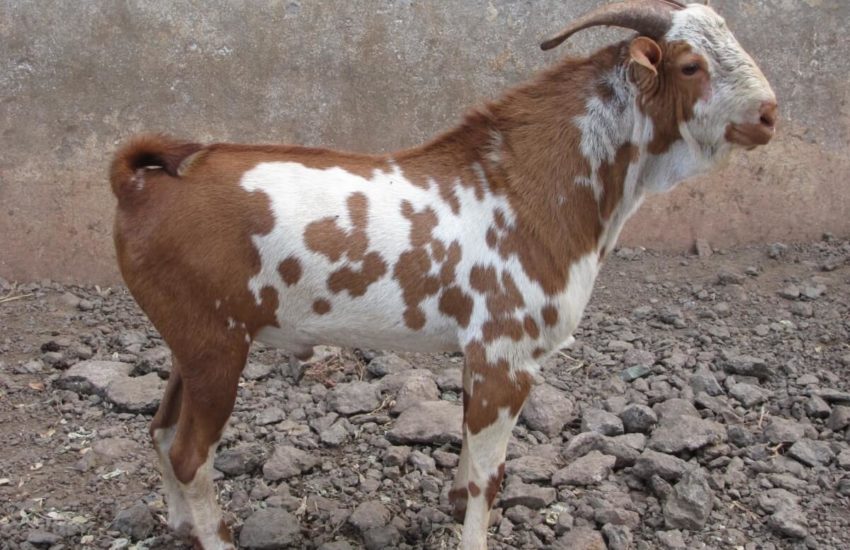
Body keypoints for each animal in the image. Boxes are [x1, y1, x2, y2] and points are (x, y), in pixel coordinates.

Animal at [107, 2, 776, 548]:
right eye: (690, 65)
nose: (769, 114)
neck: (525, 188)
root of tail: (138, 184)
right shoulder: (507, 355)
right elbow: (490, 477)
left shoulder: (480, 354)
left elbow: (470, 460)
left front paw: (453, 505)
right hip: (215, 343)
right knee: (190, 453)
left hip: (190, 341)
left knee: (160, 432)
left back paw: (178, 524)